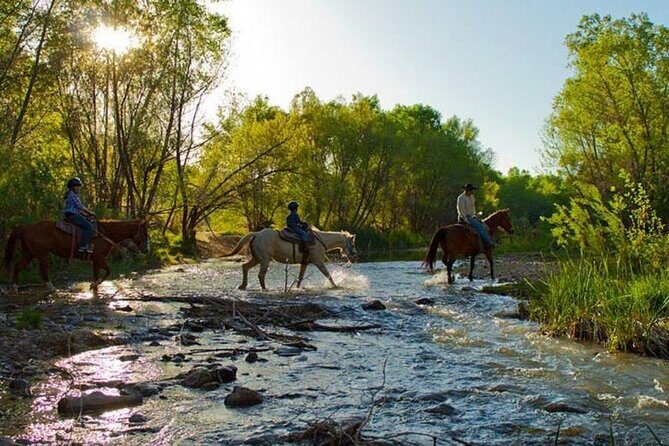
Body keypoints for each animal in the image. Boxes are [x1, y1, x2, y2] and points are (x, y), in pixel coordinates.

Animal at [4, 220, 149, 293]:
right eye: (145, 233)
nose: (147, 249)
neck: (106, 233)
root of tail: (25, 227)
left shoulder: (96, 260)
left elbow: (97, 274)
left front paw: (94, 286)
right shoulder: (100, 258)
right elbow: (109, 271)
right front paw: (95, 285)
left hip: (29, 253)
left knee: (17, 267)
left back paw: (15, 287)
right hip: (41, 254)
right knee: (43, 271)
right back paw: (52, 288)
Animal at [222, 228, 357, 291]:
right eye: (353, 244)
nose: (355, 255)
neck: (320, 241)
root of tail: (257, 234)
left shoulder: (305, 263)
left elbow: (300, 278)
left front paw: (297, 288)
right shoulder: (318, 263)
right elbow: (328, 275)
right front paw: (335, 286)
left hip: (257, 258)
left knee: (245, 267)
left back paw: (243, 286)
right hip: (264, 260)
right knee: (261, 275)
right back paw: (264, 288)